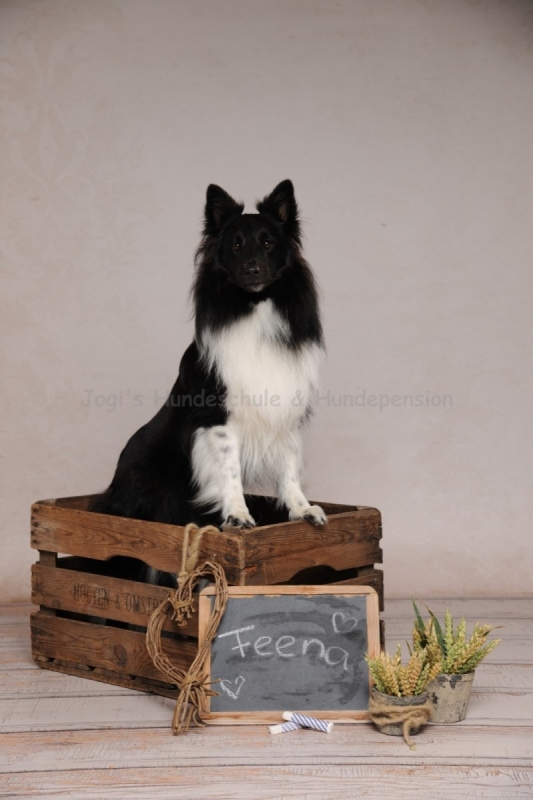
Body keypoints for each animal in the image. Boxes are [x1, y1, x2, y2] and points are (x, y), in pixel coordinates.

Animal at [91, 180, 326, 580]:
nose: (252, 269)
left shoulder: (286, 411)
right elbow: (229, 470)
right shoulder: (217, 418)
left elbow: (290, 466)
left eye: (268, 243)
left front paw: (300, 509)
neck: (254, 309)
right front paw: (238, 516)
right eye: (235, 245)